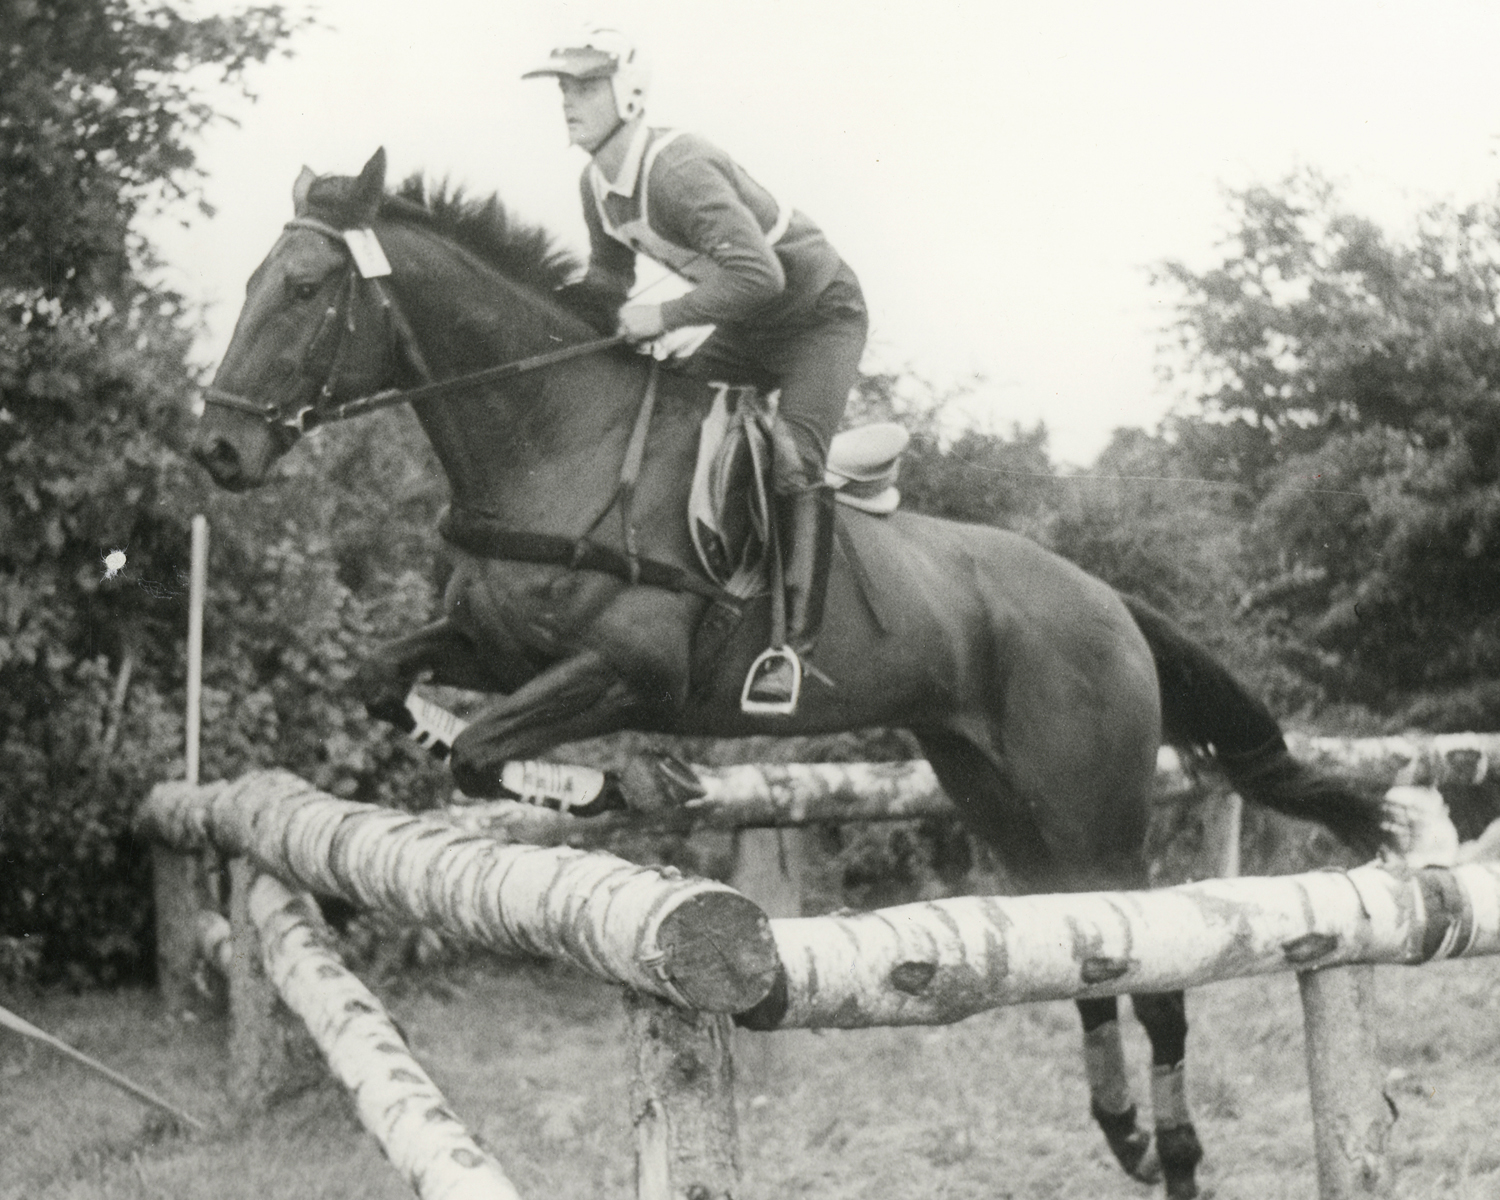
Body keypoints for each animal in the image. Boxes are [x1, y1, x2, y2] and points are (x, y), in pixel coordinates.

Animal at [193, 152, 1398, 1200]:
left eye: (302, 288)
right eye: (248, 281)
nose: (218, 452)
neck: (557, 446)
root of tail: (1107, 601)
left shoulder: (625, 672)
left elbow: (489, 750)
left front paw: (632, 784)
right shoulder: (495, 647)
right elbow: (387, 685)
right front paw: (591, 776)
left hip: (1093, 806)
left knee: (1156, 973)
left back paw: (1179, 1155)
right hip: (998, 801)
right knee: (1084, 954)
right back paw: (1123, 1133)